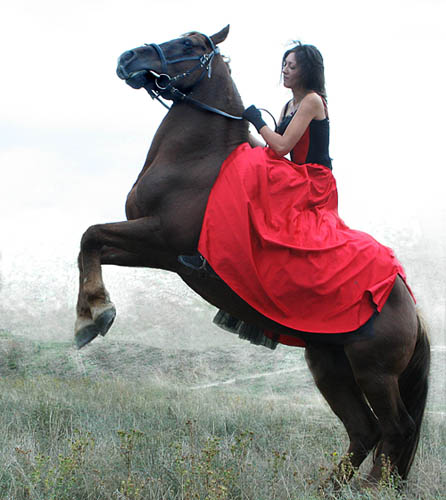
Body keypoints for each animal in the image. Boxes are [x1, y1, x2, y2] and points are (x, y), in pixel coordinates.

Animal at [75, 26, 430, 485]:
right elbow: (91, 244)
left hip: (375, 372)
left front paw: (96, 315)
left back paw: (370, 488)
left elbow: (90, 235)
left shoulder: (162, 239)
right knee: (364, 429)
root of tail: (408, 304)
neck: (199, 158)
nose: (128, 58)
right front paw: (89, 317)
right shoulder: (155, 252)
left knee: (395, 428)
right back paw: (327, 488)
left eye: (189, 44)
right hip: (328, 363)